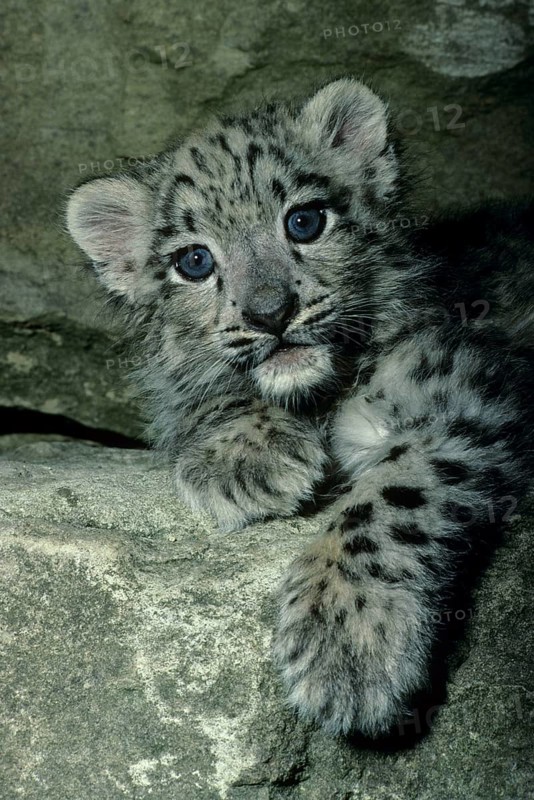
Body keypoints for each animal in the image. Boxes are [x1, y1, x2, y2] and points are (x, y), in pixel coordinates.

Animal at [66, 78, 534, 738]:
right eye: (194, 261)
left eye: (305, 221)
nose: (270, 313)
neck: (326, 399)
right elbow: (211, 392)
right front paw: (247, 460)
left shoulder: (467, 392)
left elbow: (395, 495)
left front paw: (346, 633)